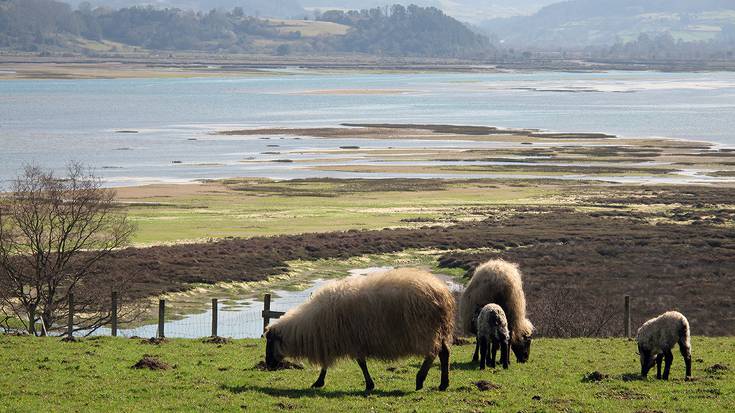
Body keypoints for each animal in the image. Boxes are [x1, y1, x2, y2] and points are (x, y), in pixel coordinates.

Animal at [264, 268, 458, 390]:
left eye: (270, 342)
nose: (268, 365)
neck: (309, 325)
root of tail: (442, 293)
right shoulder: (335, 339)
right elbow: (329, 365)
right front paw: (319, 382)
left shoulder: (347, 339)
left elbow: (360, 363)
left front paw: (369, 385)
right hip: (437, 329)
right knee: (444, 353)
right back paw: (443, 384)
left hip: (424, 329)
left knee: (432, 353)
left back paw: (420, 380)